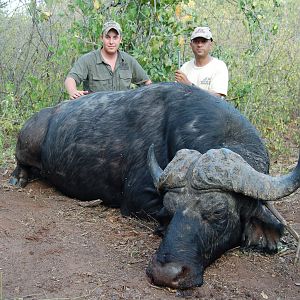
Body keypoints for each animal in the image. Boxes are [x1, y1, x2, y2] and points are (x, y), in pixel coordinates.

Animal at [9, 83, 300, 290]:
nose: (165, 273)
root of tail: (47, 114)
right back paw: (18, 178)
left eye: (218, 212)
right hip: (26, 145)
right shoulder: (137, 199)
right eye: (169, 211)